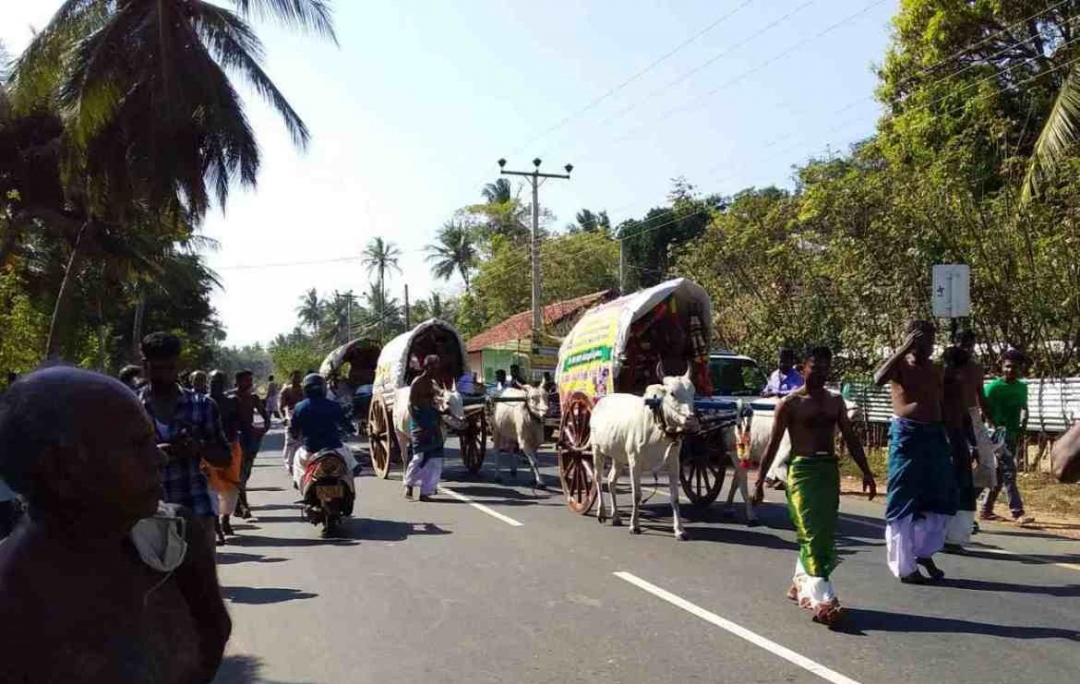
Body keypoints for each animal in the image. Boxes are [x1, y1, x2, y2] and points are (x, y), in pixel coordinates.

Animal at [591, 367, 699, 538]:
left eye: (693, 392)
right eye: (672, 393)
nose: (691, 419)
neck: (658, 427)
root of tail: (601, 401)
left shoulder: (674, 463)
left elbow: (675, 497)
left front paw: (680, 530)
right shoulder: (635, 462)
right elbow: (637, 495)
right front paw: (634, 526)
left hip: (618, 457)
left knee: (611, 481)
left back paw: (616, 517)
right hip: (597, 450)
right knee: (598, 478)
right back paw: (601, 513)